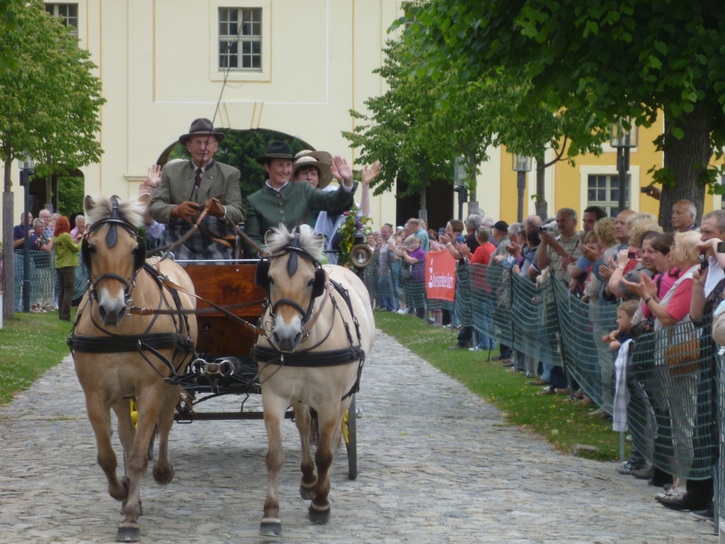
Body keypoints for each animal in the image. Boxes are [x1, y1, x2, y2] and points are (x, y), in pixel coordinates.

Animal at [70, 193, 198, 540]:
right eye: (92, 247)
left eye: (133, 248)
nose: (111, 309)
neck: (121, 330)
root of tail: (167, 259)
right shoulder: (96, 394)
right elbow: (110, 455)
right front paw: (123, 492)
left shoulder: (152, 389)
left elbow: (140, 454)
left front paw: (129, 517)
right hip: (121, 395)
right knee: (127, 434)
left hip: (173, 377)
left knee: (165, 422)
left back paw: (163, 470)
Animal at [253, 223, 374, 536]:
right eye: (270, 278)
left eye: (311, 282)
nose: (285, 336)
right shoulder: (274, 395)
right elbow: (275, 455)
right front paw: (271, 514)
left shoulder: (330, 401)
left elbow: (326, 454)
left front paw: (321, 505)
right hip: (300, 396)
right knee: (305, 426)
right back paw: (308, 480)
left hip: (344, 396)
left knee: (331, 436)